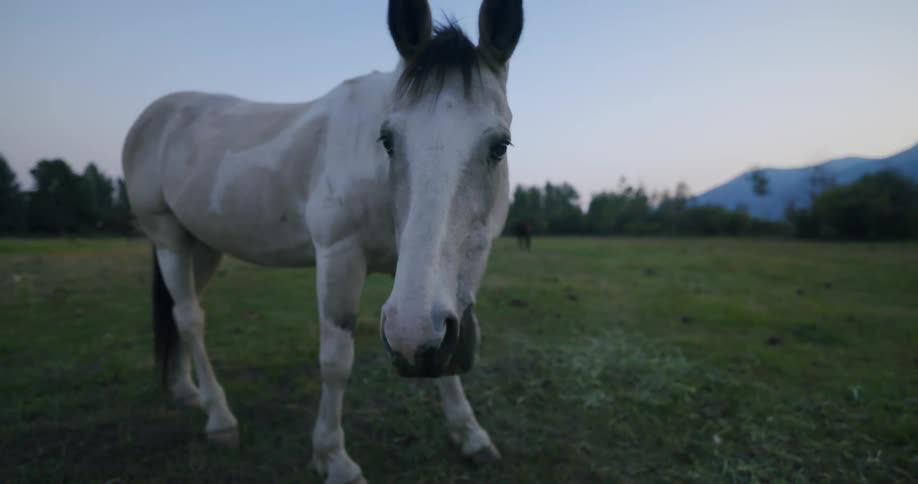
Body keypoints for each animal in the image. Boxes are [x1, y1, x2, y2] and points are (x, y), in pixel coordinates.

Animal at [121, 1, 523, 482]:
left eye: (500, 145)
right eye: (388, 140)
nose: (409, 337)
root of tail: (154, 116)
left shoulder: (445, 290)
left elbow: (447, 348)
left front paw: (470, 434)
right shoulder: (339, 256)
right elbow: (336, 361)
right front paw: (333, 458)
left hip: (201, 246)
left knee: (180, 313)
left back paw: (186, 391)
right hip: (168, 239)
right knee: (189, 319)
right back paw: (219, 419)